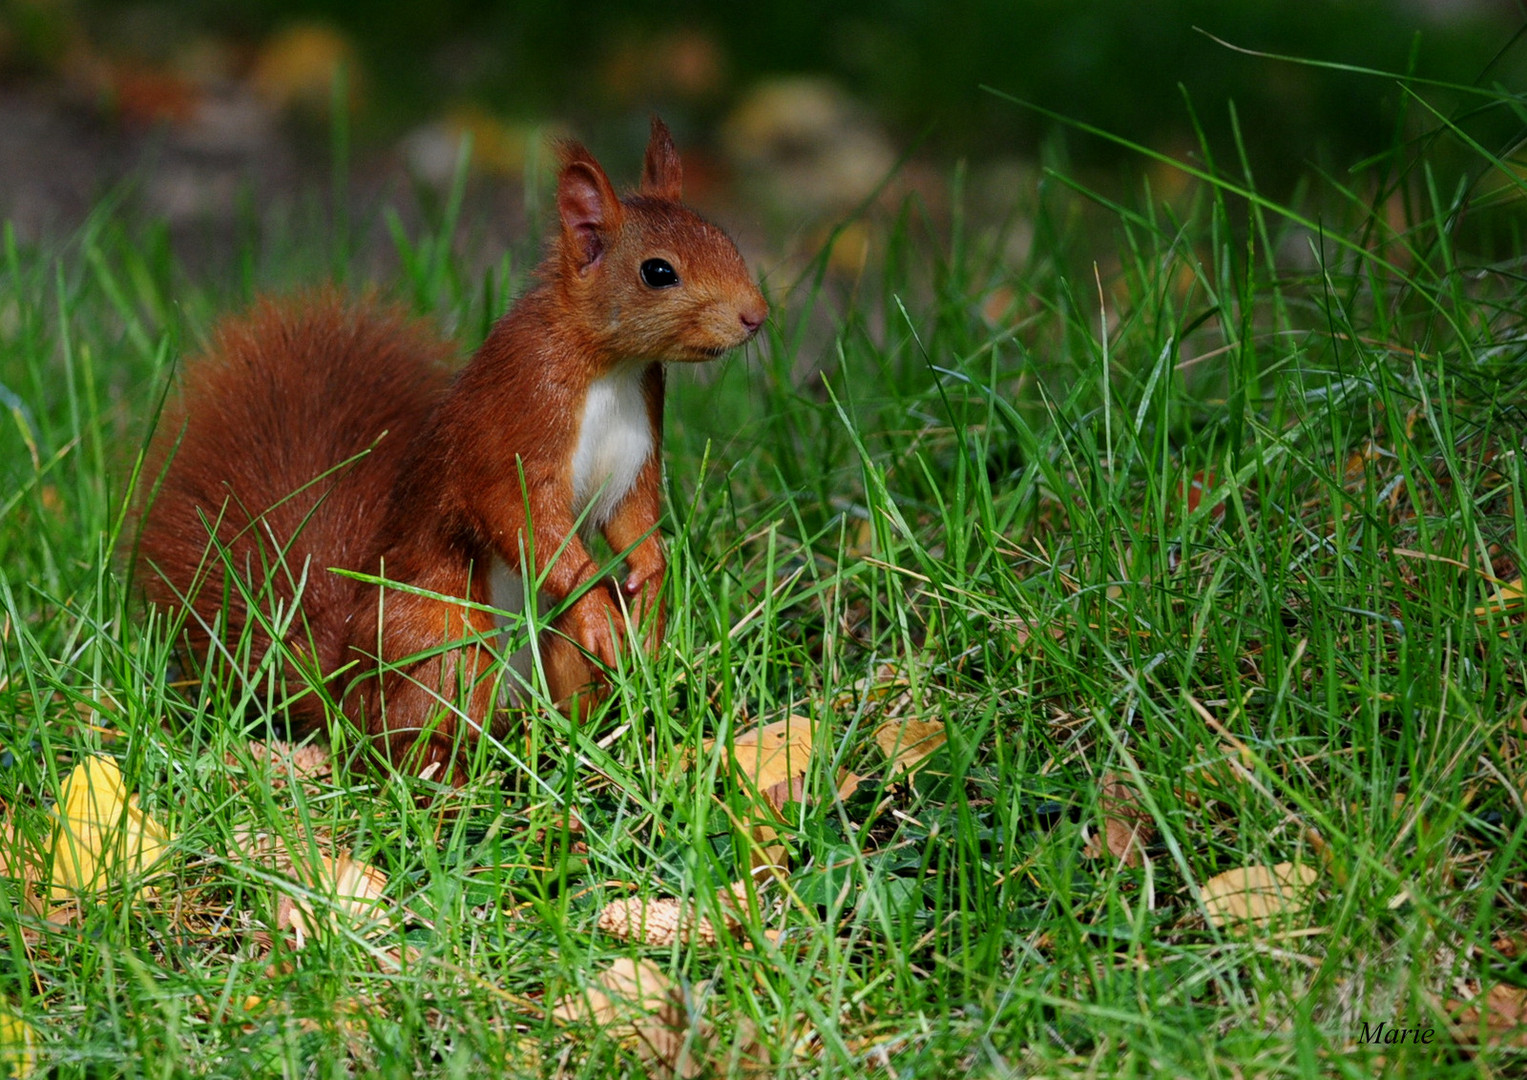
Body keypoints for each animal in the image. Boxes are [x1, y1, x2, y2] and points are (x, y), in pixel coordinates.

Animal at [137, 116, 769, 776]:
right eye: (658, 272)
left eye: (723, 236)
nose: (756, 315)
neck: (610, 367)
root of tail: (342, 688)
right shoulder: (517, 424)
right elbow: (524, 520)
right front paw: (599, 607)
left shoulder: (635, 451)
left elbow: (633, 518)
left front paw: (650, 590)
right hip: (443, 644)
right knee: (415, 733)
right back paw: (452, 777)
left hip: (544, 650)